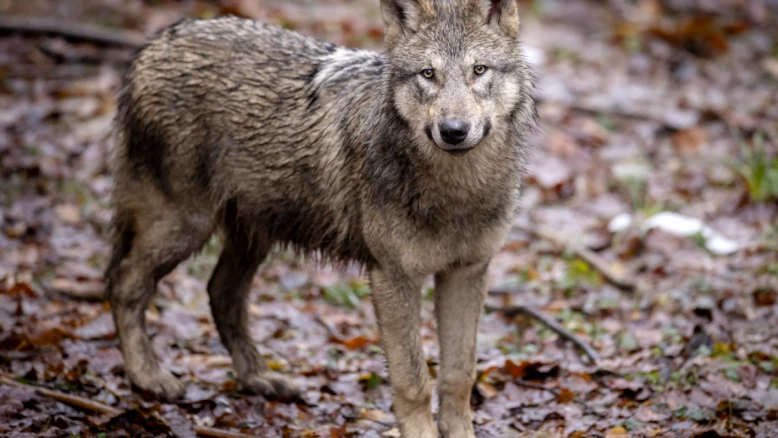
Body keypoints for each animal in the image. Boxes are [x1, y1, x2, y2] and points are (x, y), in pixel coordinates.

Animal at [106, 0, 535, 436]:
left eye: (478, 70)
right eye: (428, 74)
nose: (453, 131)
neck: (456, 193)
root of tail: (152, 45)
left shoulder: (467, 272)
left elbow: (459, 374)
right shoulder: (392, 277)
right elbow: (413, 380)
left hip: (253, 235)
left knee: (221, 294)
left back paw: (259, 378)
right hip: (184, 227)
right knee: (124, 285)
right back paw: (148, 377)